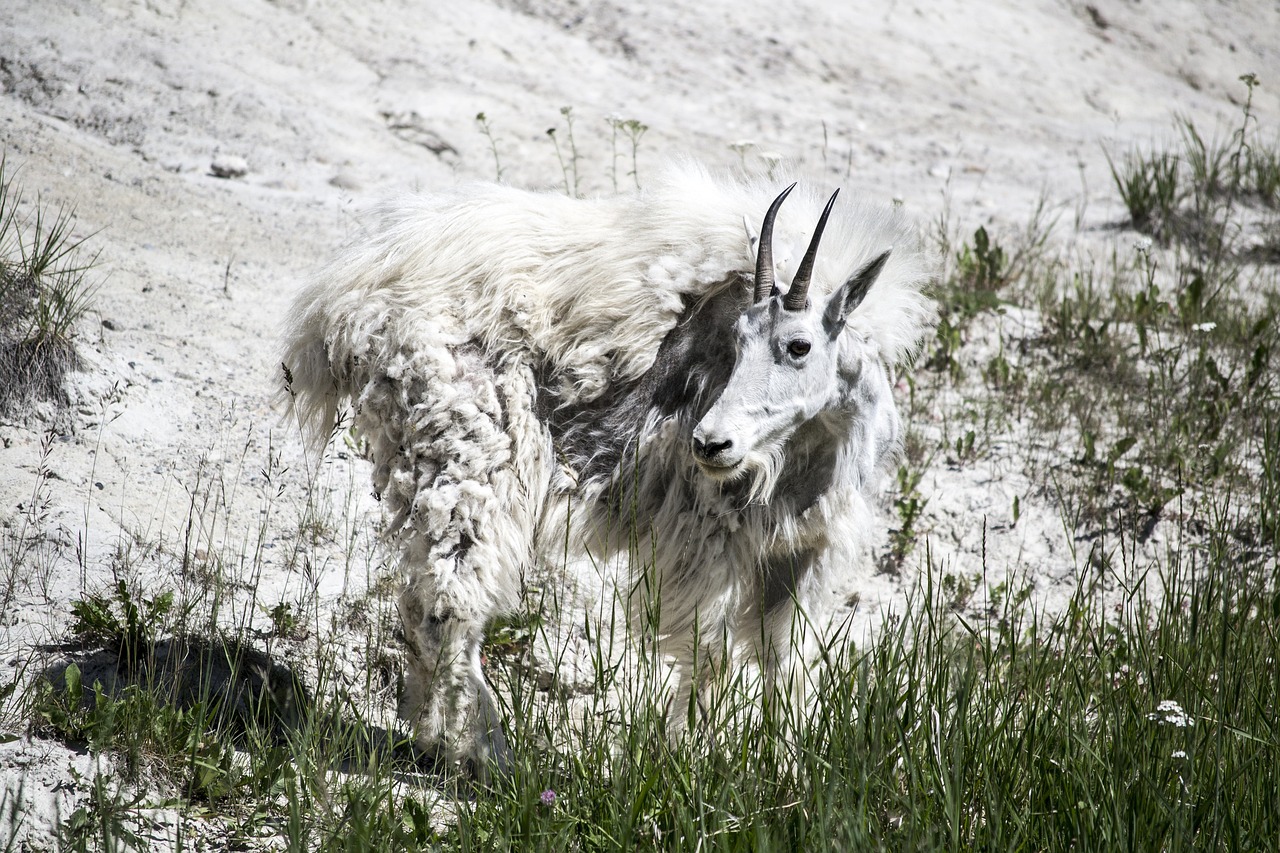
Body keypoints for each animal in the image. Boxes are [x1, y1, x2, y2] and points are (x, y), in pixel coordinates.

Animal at [282, 163, 931, 768]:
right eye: (735, 343)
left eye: (798, 346)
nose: (710, 444)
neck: (806, 453)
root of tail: (342, 308)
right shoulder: (708, 539)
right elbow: (710, 653)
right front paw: (688, 758)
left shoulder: (803, 552)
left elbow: (786, 661)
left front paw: (786, 766)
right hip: (473, 457)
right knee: (448, 602)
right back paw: (489, 755)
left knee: (425, 603)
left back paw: (433, 740)